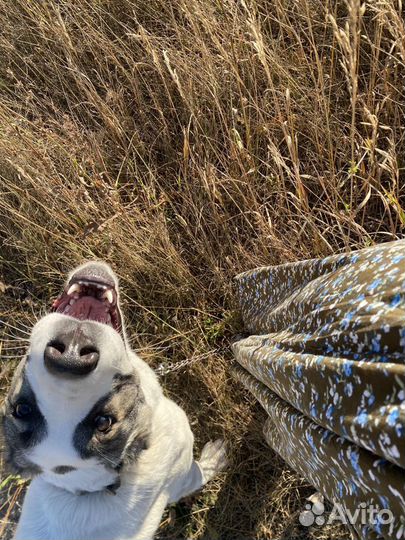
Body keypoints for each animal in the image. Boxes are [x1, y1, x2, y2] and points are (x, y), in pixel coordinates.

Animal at [0, 262, 227, 540]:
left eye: (22, 409)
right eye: (104, 421)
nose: (71, 355)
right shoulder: (183, 474)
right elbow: (202, 471)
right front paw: (216, 457)